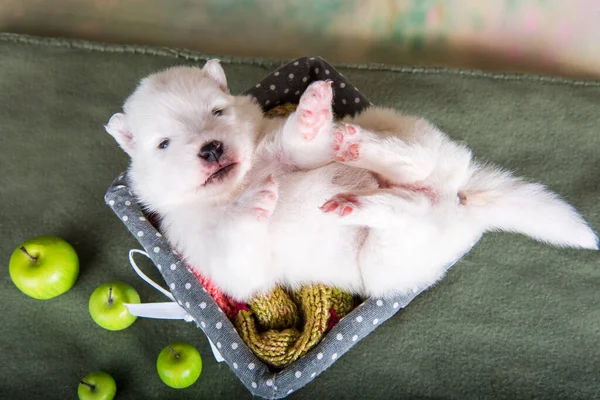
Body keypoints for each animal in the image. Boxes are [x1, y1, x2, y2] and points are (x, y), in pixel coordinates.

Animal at [105, 61, 596, 302]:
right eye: (164, 144)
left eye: (218, 111)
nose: (210, 148)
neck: (240, 181)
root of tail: (458, 200)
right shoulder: (221, 264)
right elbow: (238, 247)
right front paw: (256, 201)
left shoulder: (284, 148)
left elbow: (301, 146)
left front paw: (310, 115)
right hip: (387, 263)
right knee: (406, 210)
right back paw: (361, 203)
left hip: (401, 129)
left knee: (414, 163)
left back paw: (360, 150)